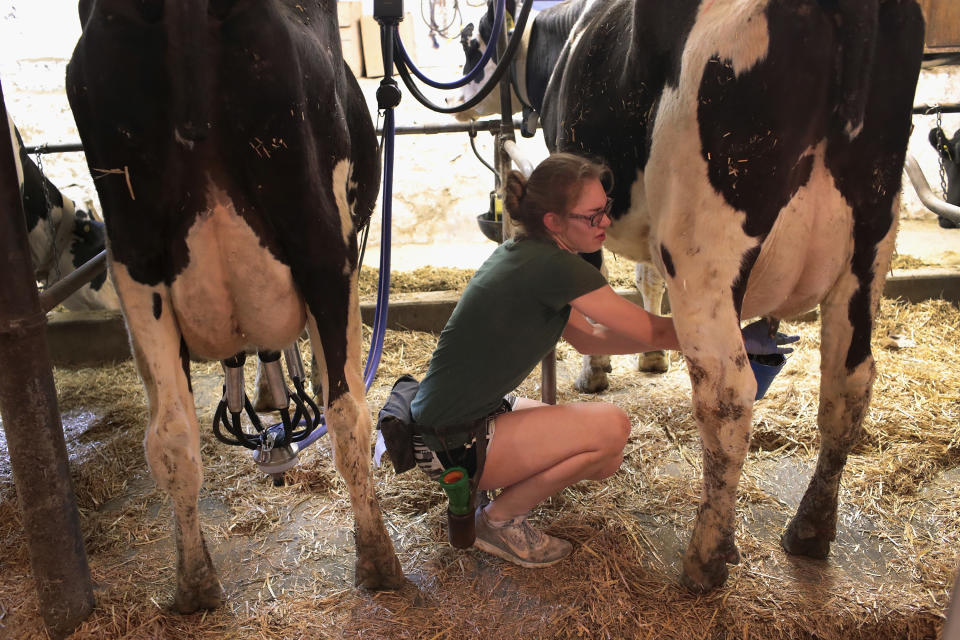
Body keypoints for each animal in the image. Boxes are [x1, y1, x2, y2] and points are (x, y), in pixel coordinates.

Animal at [66, 0, 404, 608]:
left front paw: (269, 396)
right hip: (323, 244)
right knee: (348, 415)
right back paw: (379, 560)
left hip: (134, 262)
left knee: (171, 435)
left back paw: (195, 584)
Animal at [458, 0, 924, 592]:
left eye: (470, 41)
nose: (464, 107)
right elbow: (644, 278)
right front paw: (652, 357)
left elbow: (596, 285)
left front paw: (595, 372)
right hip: (871, 244)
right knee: (849, 385)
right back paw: (810, 531)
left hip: (703, 243)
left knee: (727, 395)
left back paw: (705, 557)